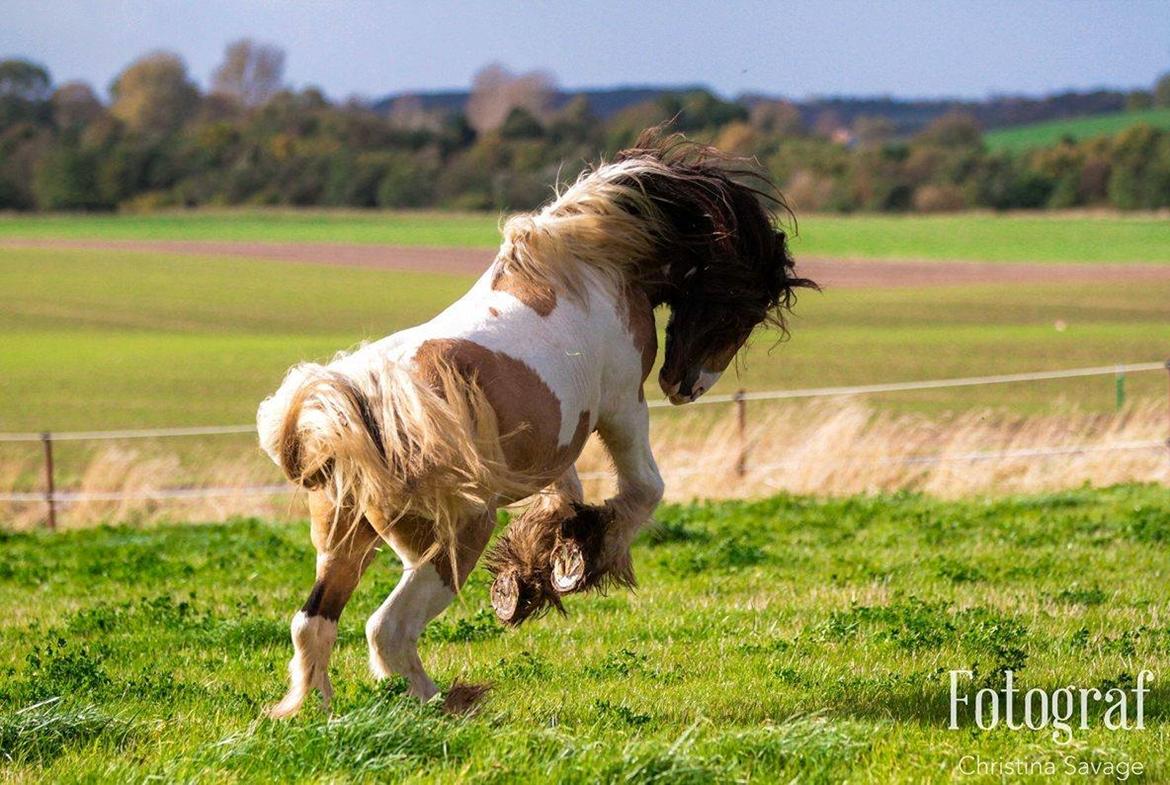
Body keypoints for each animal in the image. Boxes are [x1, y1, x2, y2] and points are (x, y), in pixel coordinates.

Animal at [256, 130, 814, 720]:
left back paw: (315, 710)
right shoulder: (622, 407)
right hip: (454, 540)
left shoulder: (557, 443)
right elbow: (643, 490)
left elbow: (564, 497)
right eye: (743, 304)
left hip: (348, 539)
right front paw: (582, 561)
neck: (591, 262)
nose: (688, 386)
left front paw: (535, 573)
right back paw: (445, 703)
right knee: (387, 628)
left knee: (312, 624)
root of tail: (358, 420)